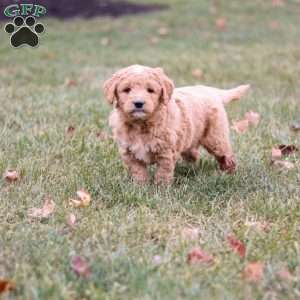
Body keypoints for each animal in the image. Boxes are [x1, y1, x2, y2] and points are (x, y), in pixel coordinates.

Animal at [103, 64, 248, 184]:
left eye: (150, 90)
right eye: (127, 90)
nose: (139, 103)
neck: (141, 124)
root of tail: (210, 90)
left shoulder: (166, 152)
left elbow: (163, 173)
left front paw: (160, 190)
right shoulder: (129, 153)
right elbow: (139, 172)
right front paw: (141, 187)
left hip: (216, 137)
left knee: (226, 155)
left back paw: (229, 173)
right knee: (193, 154)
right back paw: (191, 168)